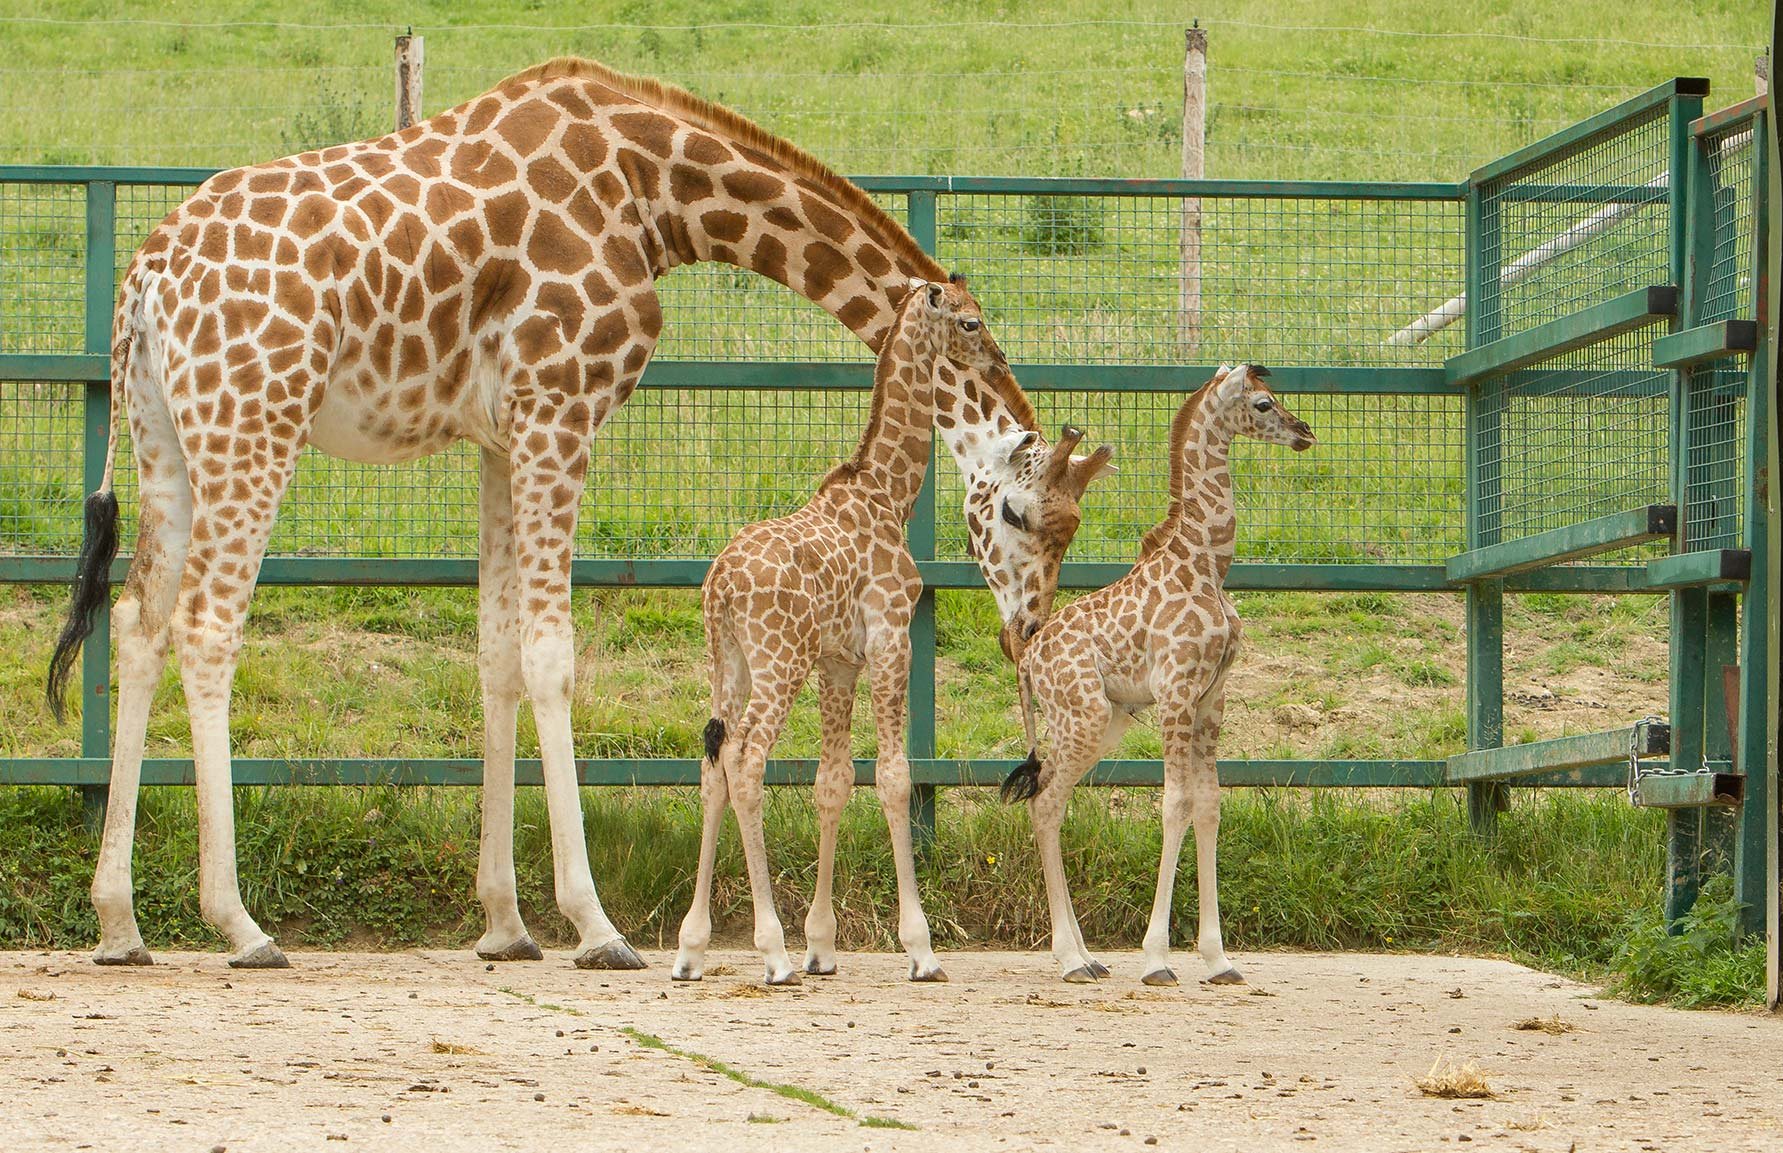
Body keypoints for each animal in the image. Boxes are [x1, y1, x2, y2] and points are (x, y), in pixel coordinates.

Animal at [673, 278, 1105, 983]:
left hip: (728, 662)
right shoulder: (890, 639)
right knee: (745, 760)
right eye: (970, 321)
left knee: (713, 764)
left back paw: (691, 949)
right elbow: (896, 777)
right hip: (777, 661)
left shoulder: (838, 661)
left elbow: (833, 781)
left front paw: (822, 947)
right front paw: (921, 949)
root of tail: (721, 587)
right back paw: (771, 952)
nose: (998, 361)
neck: (887, 493)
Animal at [1005, 365, 1312, 990]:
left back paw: (1086, 957)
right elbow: (1175, 805)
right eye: (1264, 404)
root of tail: (1028, 660)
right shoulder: (1175, 693)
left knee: (1049, 802)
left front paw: (1219, 960)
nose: (1305, 433)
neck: (1208, 563)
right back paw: (1071, 960)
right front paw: (1156, 959)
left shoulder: (1213, 697)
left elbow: (1210, 805)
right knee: (1046, 804)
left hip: (1106, 722)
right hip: (1082, 715)